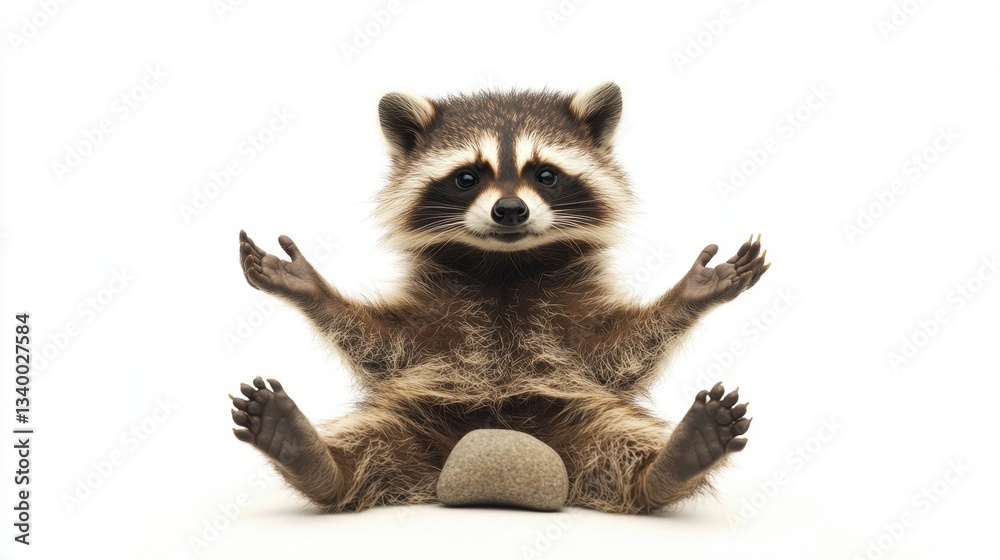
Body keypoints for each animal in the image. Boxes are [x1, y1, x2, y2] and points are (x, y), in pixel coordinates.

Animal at [231, 83, 769, 514]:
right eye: (468, 177)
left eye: (545, 174)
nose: (510, 209)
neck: (505, 267)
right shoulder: (434, 324)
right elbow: (383, 344)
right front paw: (313, 289)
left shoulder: (571, 327)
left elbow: (617, 352)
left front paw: (688, 295)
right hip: (412, 423)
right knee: (367, 452)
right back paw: (316, 460)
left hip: (582, 426)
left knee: (622, 454)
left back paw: (667, 467)